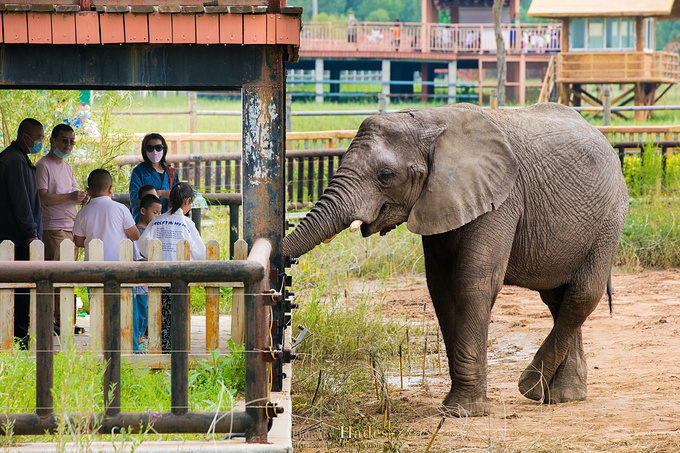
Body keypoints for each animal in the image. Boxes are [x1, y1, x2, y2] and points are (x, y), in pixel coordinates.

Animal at [280, 103, 628, 416]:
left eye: (386, 176)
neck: (428, 121)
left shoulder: (501, 199)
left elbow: (473, 283)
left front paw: (463, 412)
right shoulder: (439, 200)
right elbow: (441, 287)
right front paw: (456, 407)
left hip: (610, 218)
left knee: (581, 295)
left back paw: (532, 388)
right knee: (557, 298)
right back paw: (563, 396)